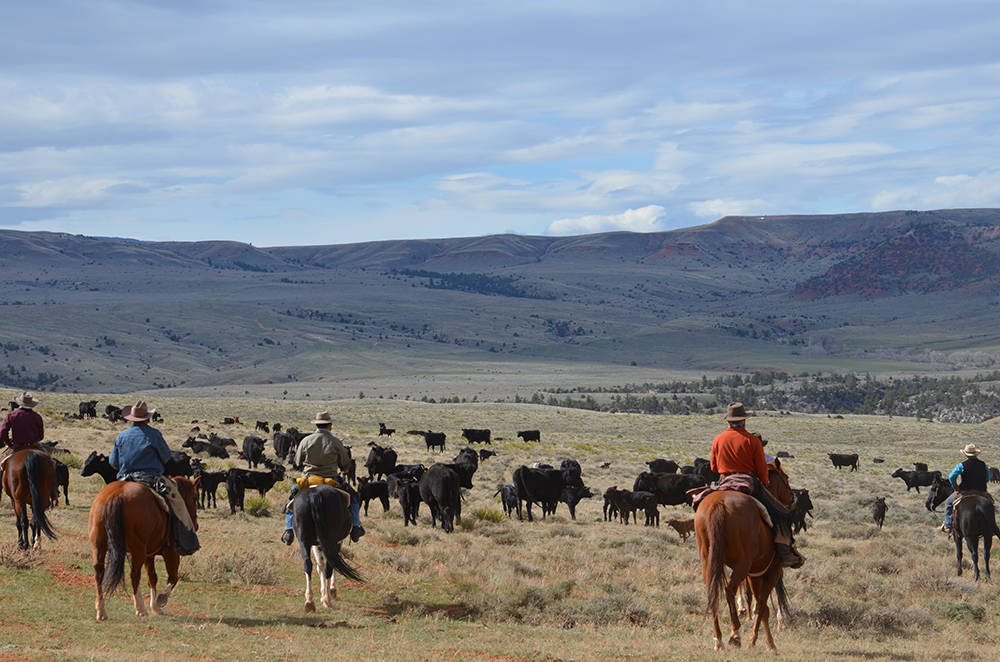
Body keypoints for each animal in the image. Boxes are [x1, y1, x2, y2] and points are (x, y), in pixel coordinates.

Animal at [89, 478, 200, 624]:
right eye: (195, 497)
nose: (196, 525)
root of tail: (116, 494)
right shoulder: (171, 553)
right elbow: (173, 578)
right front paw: (160, 600)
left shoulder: (149, 555)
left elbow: (152, 578)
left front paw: (155, 607)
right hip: (138, 550)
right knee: (134, 575)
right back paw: (140, 608)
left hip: (99, 546)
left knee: (99, 573)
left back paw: (101, 610)